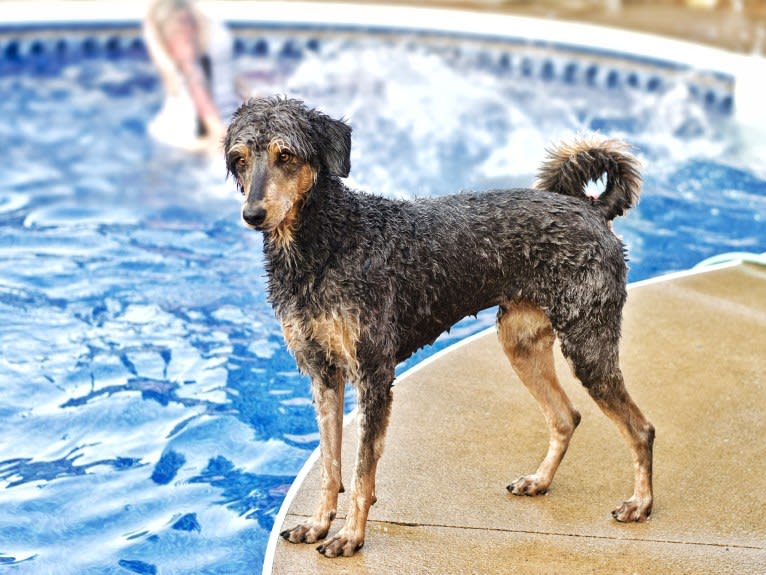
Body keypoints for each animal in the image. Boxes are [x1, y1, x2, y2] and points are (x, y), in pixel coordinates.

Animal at [225, 95, 656, 560]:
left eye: (286, 155)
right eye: (240, 159)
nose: (252, 214)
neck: (327, 243)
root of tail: (591, 208)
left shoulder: (373, 375)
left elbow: (360, 474)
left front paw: (350, 537)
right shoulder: (323, 373)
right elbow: (330, 466)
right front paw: (318, 525)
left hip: (588, 345)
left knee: (640, 429)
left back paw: (640, 503)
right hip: (520, 344)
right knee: (565, 417)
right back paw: (539, 481)